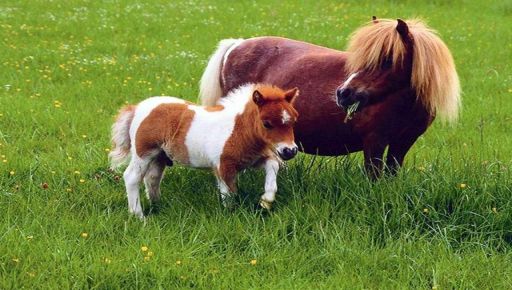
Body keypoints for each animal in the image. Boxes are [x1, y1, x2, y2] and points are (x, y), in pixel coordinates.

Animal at [109, 84, 300, 218]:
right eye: (266, 123)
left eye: (293, 120)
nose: (290, 151)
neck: (237, 129)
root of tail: (136, 108)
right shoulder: (223, 167)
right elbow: (229, 194)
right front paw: (231, 217)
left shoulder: (252, 160)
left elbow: (273, 166)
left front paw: (266, 201)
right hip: (144, 153)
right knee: (132, 177)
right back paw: (139, 216)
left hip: (159, 156)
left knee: (152, 179)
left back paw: (157, 206)